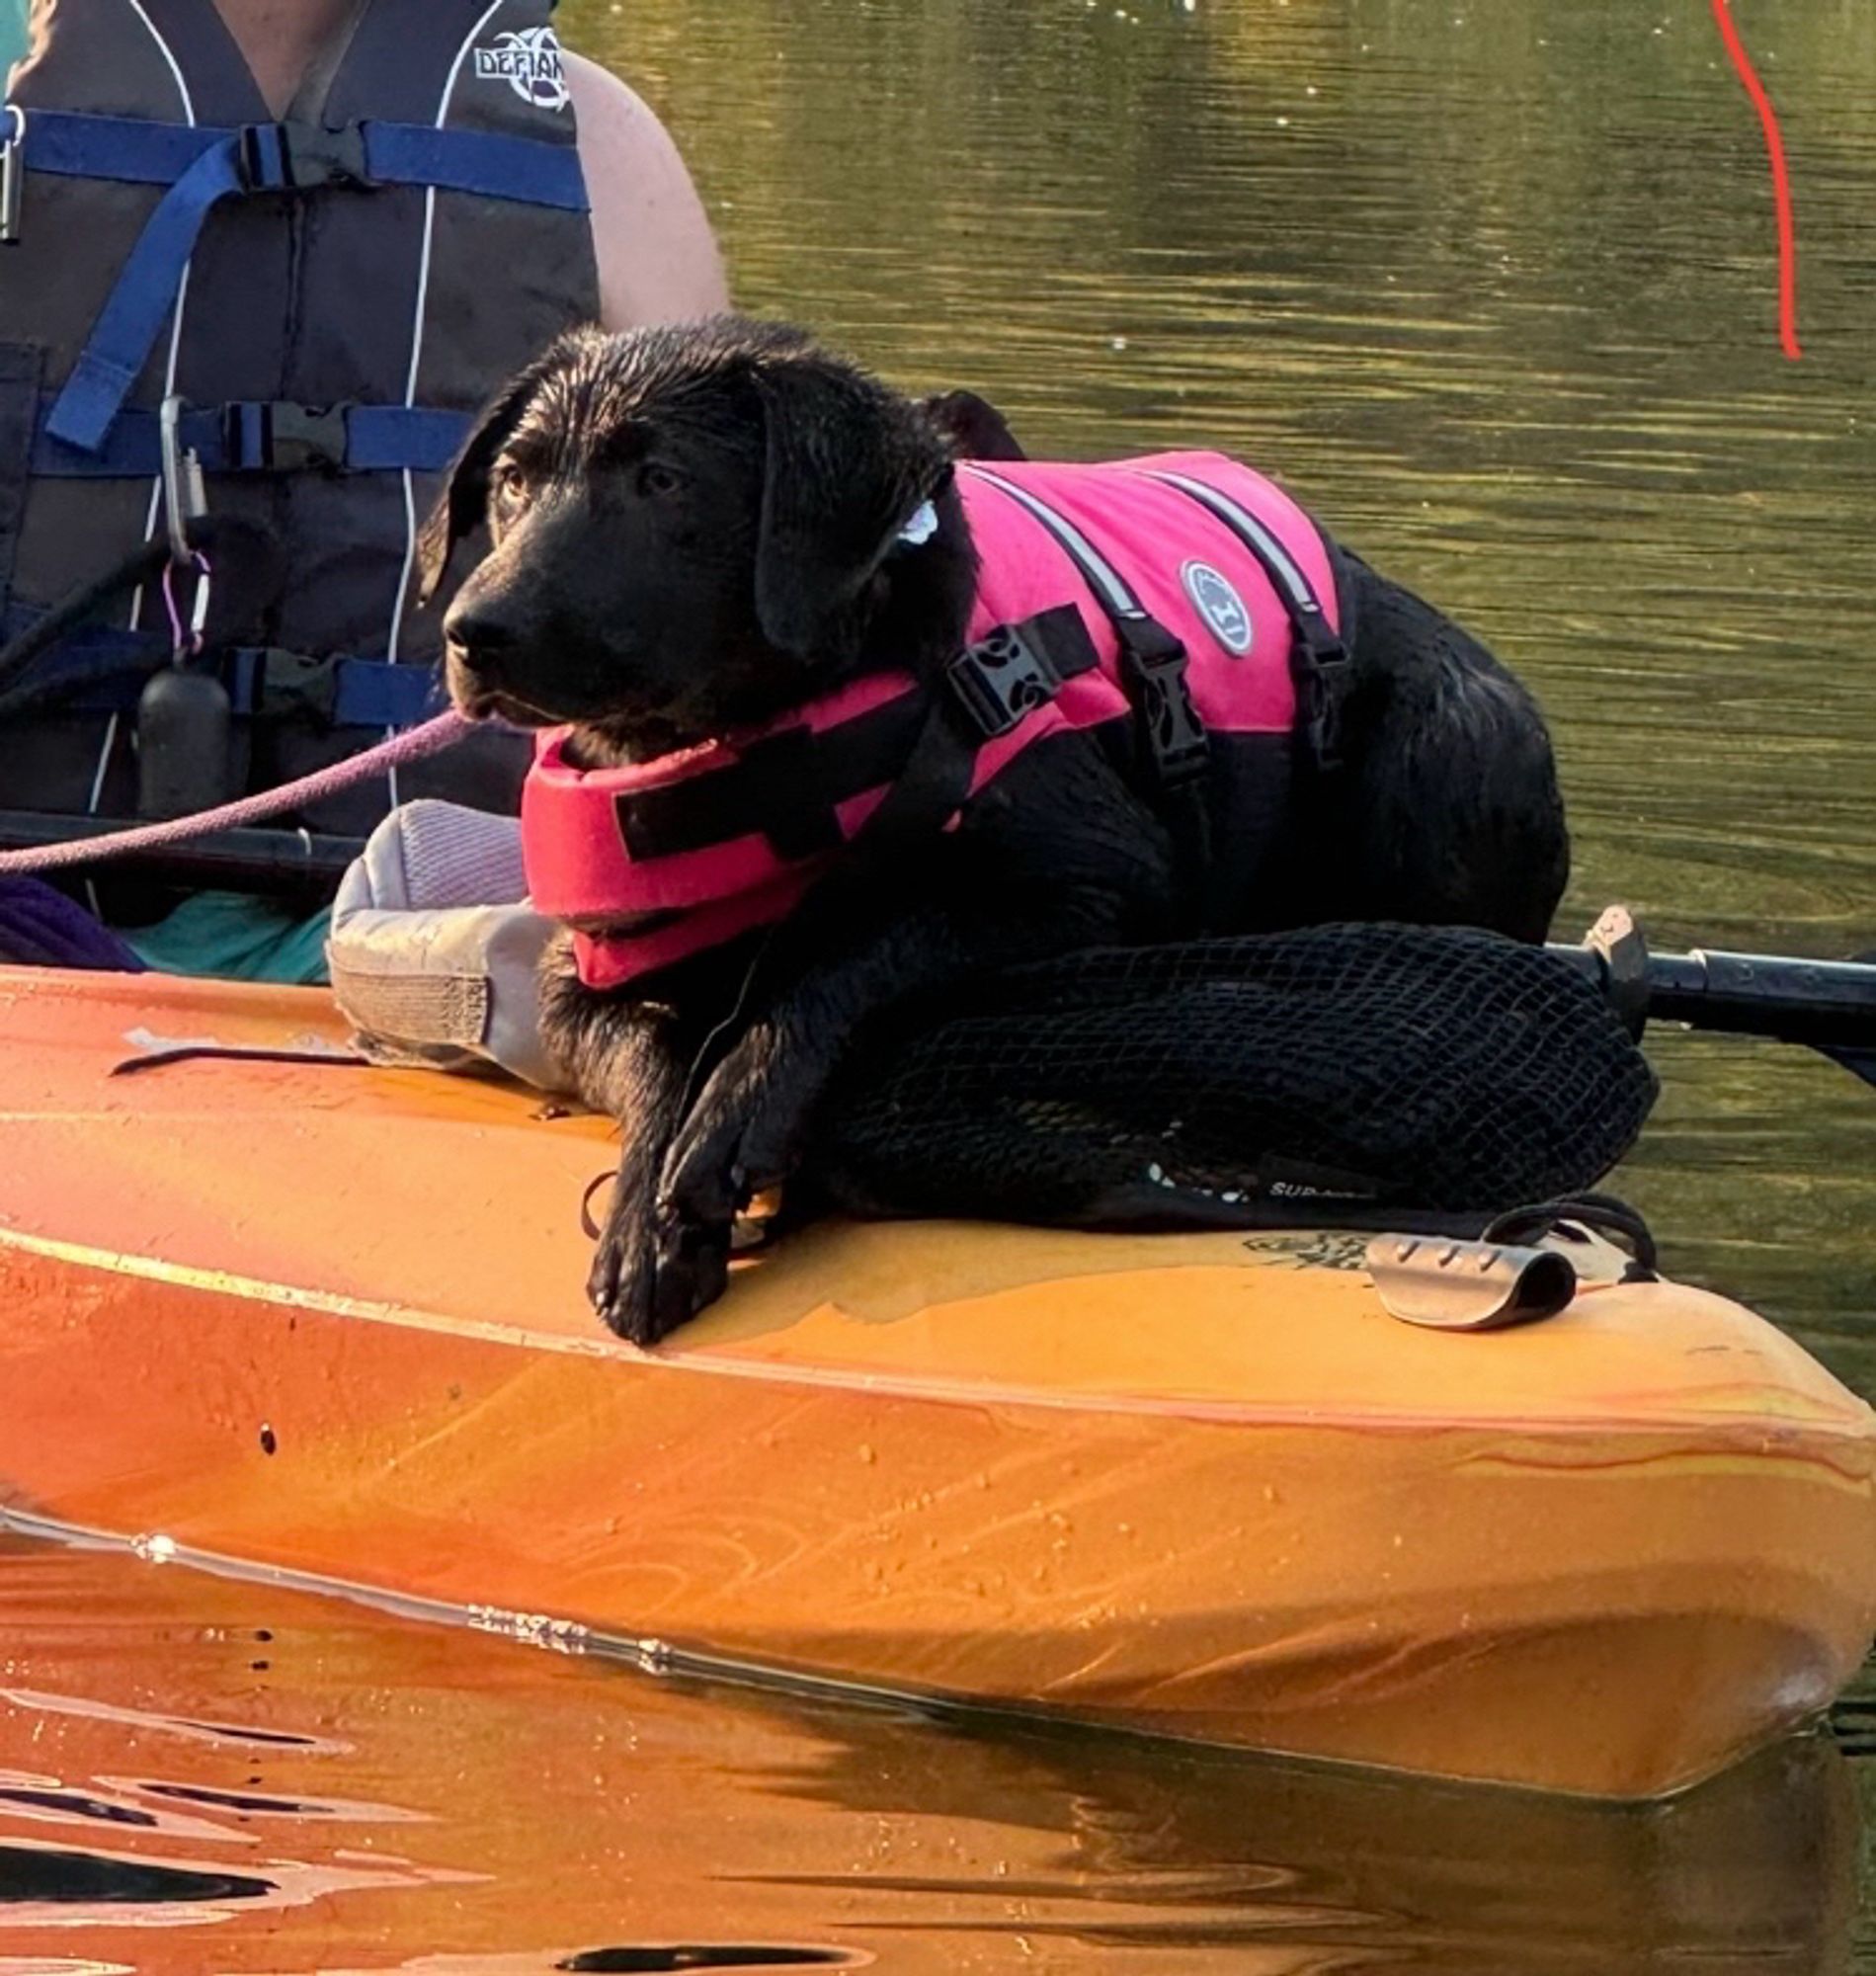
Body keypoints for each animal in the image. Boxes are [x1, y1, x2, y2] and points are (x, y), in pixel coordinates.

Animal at [422, 316, 1572, 1352]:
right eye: (514, 481)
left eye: (663, 480)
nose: (474, 633)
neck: (751, 741)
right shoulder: (581, 980)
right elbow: (651, 1057)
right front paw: (648, 1230)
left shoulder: (1088, 888)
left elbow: (847, 958)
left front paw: (733, 1116)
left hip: (1442, 750)